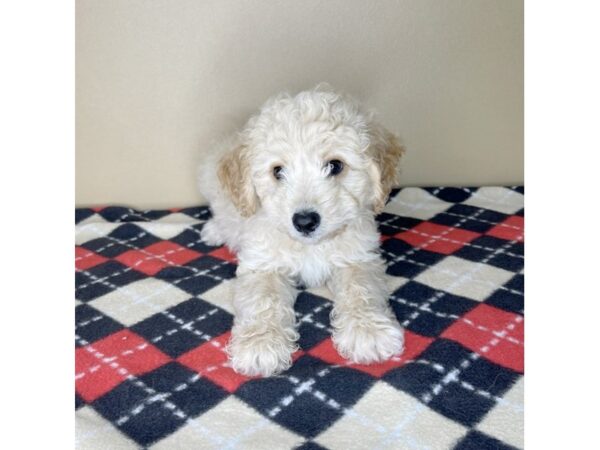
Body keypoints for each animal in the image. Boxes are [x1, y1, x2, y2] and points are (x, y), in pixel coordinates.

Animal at [199, 84, 406, 376]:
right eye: (278, 171)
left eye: (335, 165)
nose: (305, 221)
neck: (311, 246)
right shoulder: (262, 264)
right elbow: (263, 298)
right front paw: (260, 344)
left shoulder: (358, 257)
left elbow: (361, 288)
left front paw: (368, 330)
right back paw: (214, 230)